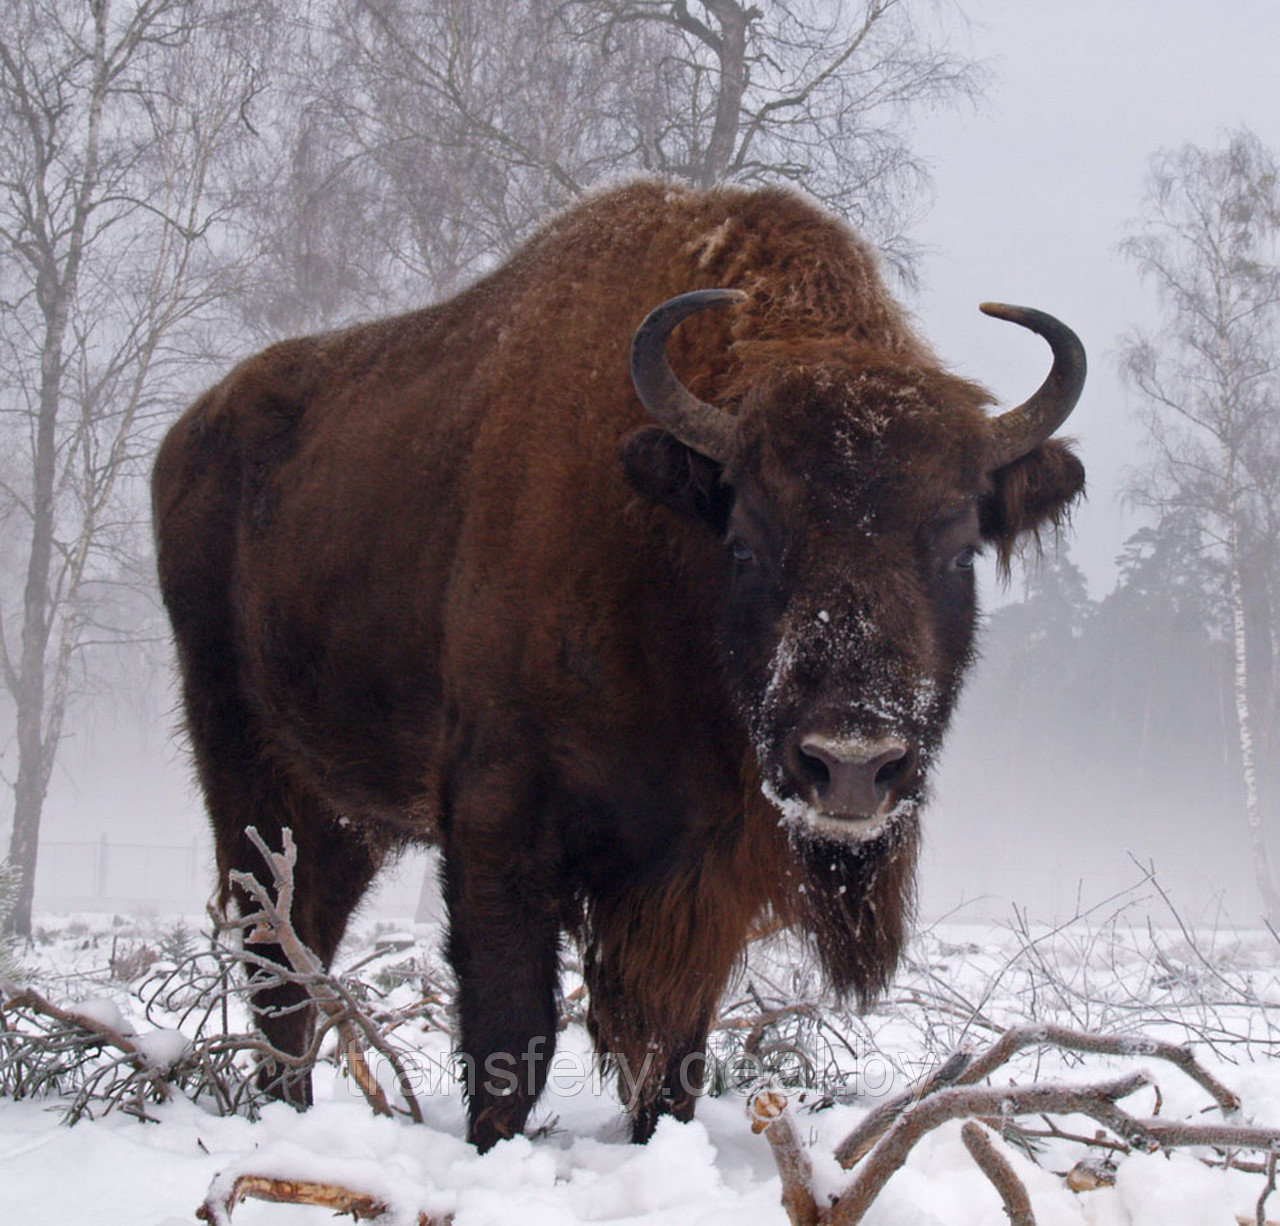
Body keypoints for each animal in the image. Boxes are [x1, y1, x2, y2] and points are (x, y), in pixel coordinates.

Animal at [154, 180, 1085, 1151]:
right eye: (747, 539)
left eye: (958, 547)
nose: (854, 764)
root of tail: (186, 436)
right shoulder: (499, 824)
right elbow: (510, 1034)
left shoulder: (700, 874)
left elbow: (671, 1055)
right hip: (249, 778)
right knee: (276, 963)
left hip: (343, 821)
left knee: (309, 940)